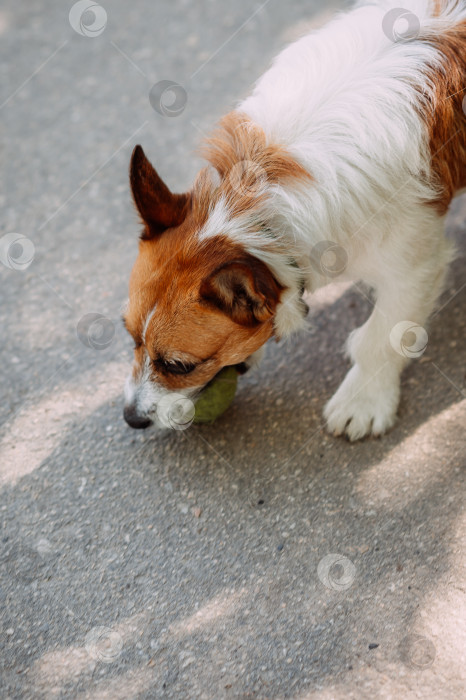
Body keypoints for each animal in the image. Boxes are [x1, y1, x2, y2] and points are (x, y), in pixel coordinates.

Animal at [121, 1, 466, 438]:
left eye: (178, 366)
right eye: (130, 336)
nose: (131, 419)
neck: (261, 212)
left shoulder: (413, 268)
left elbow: (380, 338)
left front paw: (364, 399)